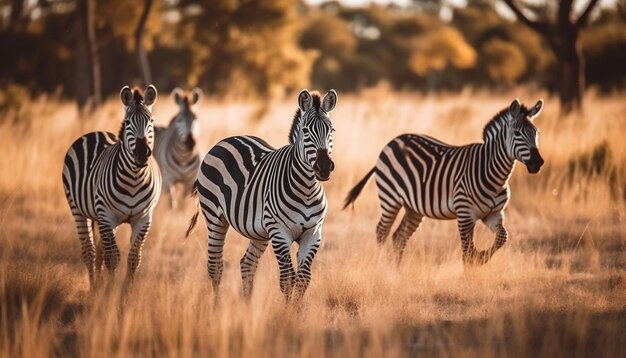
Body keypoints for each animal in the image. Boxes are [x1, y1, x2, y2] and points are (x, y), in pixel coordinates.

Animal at [61, 84, 161, 288]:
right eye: (128, 122)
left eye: (151, 121)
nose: (142, 153)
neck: (134, 178)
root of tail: (96, 132)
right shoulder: (107, 215)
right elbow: (113, 258)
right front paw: (109, 293)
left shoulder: (143, 218)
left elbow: (134, 258)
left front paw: (126, 293)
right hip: (79, 210)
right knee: (90, 251)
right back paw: (94, 288)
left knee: (100, 250)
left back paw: (99, 284)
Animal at [185, 89, 336, 300]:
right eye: (306, 131)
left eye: (331, 131)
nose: (323, 167)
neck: (306, 188)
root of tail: (227, 139)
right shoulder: (280, 233)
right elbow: (287, 279)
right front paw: (287, 310)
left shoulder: (313, 233)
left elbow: (303, 280)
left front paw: (297, 309)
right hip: (215, 219)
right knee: (215, 267)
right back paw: (216, 306)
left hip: (259, 231)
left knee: (247, 264)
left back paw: (247, 306)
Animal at [344, 99, 544, 264]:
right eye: (517, 133)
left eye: (536, 133)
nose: (538, 163)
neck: (494, 175)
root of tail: (392, 141)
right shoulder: (465, 215)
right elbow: (467, 251)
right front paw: (470, 273)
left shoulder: (494, 214)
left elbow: (503, 236)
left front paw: (481, 257)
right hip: (390, 198)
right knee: (381, 231)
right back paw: (381, 268)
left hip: (413, 208)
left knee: (399, 237)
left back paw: (397, 273)